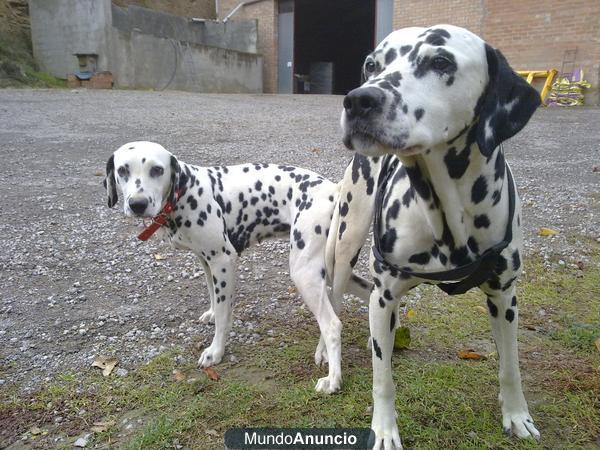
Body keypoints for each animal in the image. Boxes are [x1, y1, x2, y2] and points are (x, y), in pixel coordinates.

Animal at [105, 142, 372, 394]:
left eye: (157, 170)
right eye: (123, 170)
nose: (137, 204)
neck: (186, 192)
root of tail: (333, 190)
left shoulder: (223, 261)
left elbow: (224, 317)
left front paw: (215, 351)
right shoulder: (206, 261)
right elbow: (214, 298)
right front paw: (211, 313)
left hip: (305, 273)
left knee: (332, 325)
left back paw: (333, 380)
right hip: (333, 272)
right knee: (371, 292)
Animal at [328, 25, 544, 450]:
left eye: (440, 61)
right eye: (371, 64)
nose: (359, 100)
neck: (447, 218)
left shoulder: (505, 298)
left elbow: (510, 365)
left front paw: (516, 415)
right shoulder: (382, 292)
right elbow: (382, 380)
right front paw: (384, 430)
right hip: (346, 245)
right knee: (334, 312)